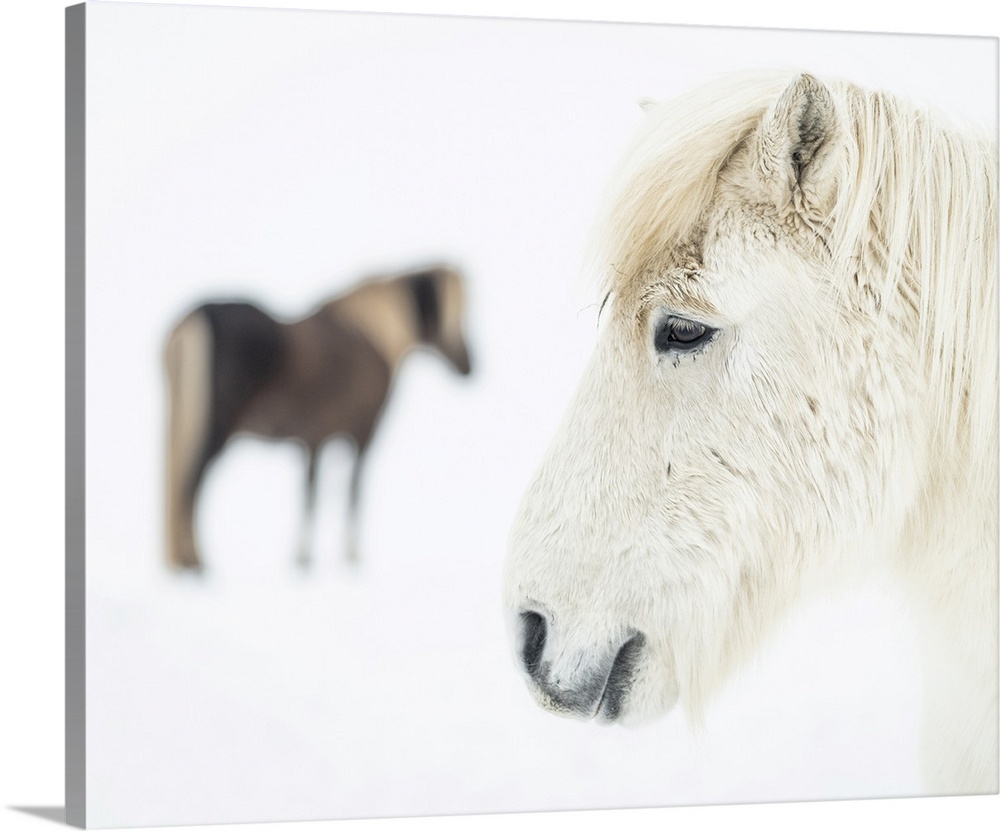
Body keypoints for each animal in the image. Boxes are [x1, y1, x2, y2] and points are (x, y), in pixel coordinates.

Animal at [164, 264, 472, 572]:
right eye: (454, 313)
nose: (470, 366)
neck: (370, 333)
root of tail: (196, 316)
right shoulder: (363, 434)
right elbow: (350, 491)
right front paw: (348, 557)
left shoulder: (314, 439)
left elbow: (310, 492)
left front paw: (304, 559)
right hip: (214, 428)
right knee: (190, 486)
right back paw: (196, 562)